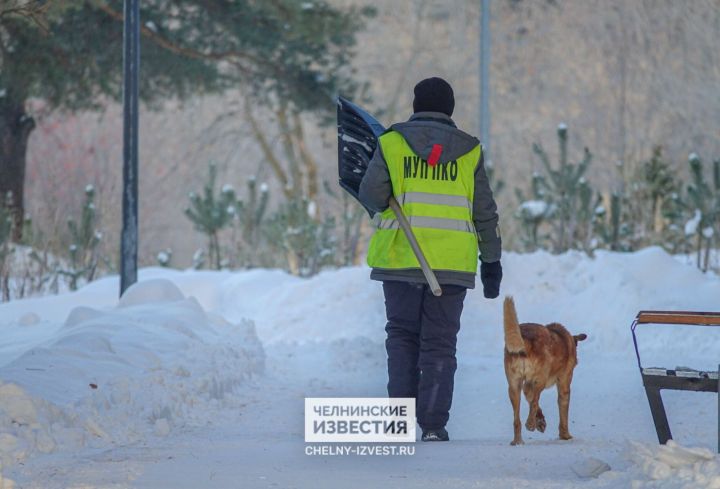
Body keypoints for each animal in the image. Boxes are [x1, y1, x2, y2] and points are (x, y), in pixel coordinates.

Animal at [504, 296, 588, 444]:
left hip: (514, 386)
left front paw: (541, 421)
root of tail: (525, 339)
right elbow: (563, 412)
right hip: (540, 380)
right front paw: (565, 435)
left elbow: (530, 399)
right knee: (534, 400)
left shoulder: (523, 384)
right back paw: (531, 424)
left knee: (517, 418)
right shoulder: (564, 384)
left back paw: (518, 441)